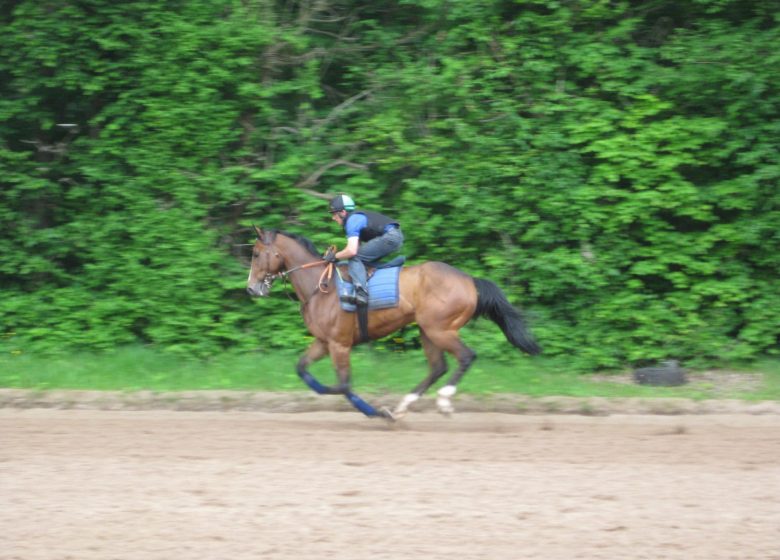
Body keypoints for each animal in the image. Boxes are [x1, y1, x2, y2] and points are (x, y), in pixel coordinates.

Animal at [247, 225, 540, 418]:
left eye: (256, 253)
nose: (251, 288)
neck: (321, 287)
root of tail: (470, 280)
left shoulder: (339, 344)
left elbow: (343, 385)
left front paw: (374, 412)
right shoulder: (323, 342)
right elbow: (303, 370)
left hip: (441, 329)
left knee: (466, 356)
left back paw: (443, 401)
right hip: (427, 330)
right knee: (438, 366)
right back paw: (403, 404)